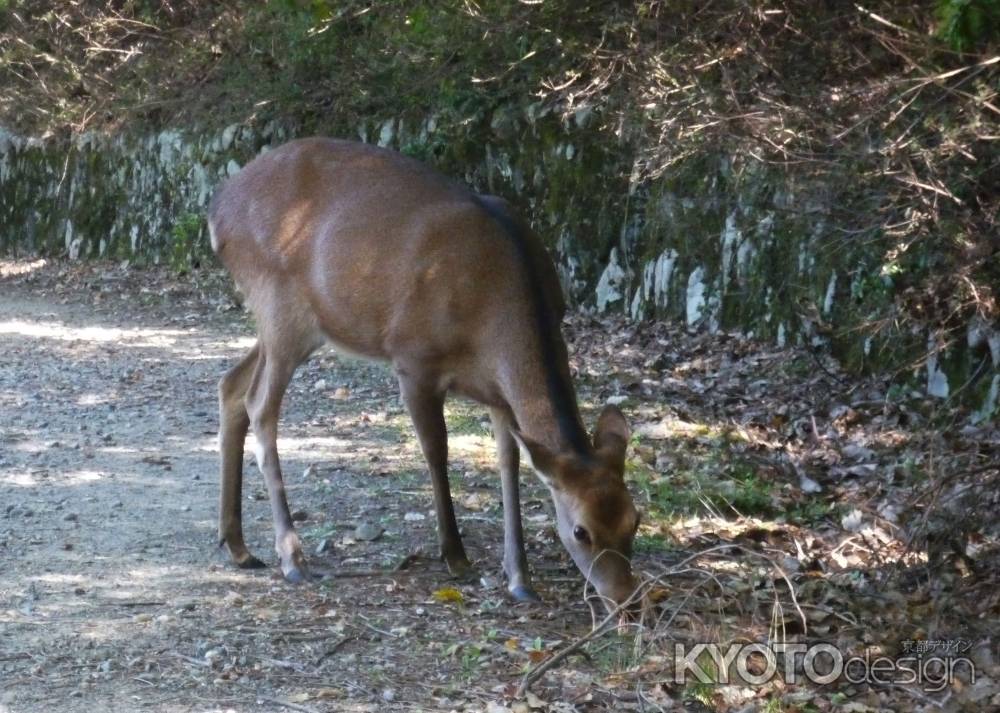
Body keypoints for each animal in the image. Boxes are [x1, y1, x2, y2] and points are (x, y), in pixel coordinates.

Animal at [209, 139, 640, 612]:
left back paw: (238, 545)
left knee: (231, 385)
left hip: (298, 326)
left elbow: (509, 465)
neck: (494, 314)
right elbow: (437, 451)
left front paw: (519, 578)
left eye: (635, 519)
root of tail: (217, 208)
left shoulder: (498, 393)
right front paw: (455, 554)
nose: (628, 600)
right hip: (278, 303)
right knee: (259, 405)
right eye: (581, 531)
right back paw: (291, 557)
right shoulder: (413, 359)